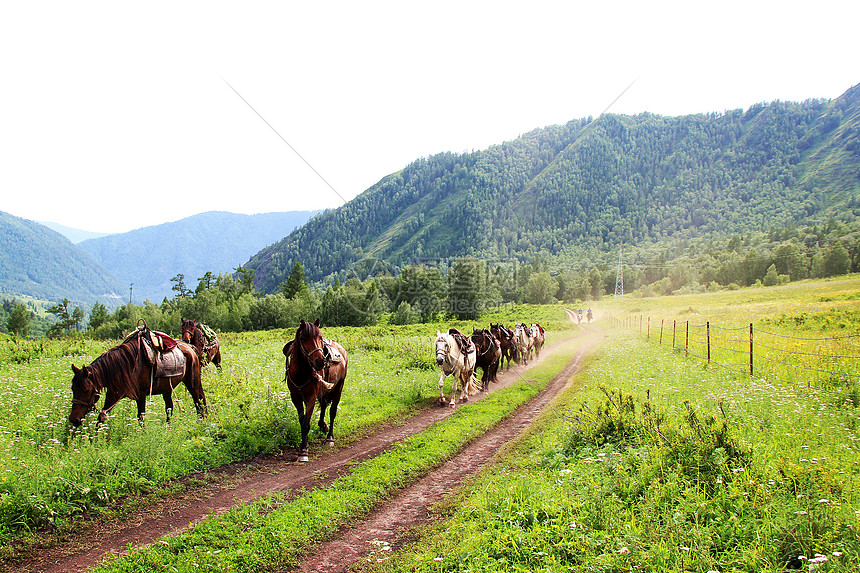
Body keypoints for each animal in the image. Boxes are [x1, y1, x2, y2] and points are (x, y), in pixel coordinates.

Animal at [68, 324, 205, 426]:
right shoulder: (113, 395)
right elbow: (101, 418)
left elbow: (141, 418)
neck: (125, 367)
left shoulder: (141, 395)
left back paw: (200, 422)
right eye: (73, 389)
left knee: (198, 402)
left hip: (192, 383)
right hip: (167, 389)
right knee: (169, 408)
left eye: (86, 390)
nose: (73, 419)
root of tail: (190, 348)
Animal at [284, 320, 348, 462]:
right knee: (324, 405)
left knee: (332, 411)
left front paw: (303, 451)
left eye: (319, 337)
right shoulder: (295, 398)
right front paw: (304, 445)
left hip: (338, 387)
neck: (301, 372)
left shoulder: (310, 398)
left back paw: (330, 437)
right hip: (324, 391)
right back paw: (322, 425)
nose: (321, 361)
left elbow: (306, 424)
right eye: (303, 338)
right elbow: (302, 421)